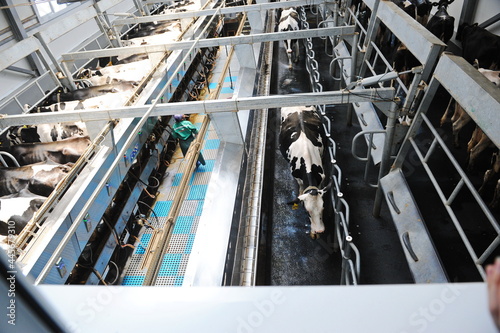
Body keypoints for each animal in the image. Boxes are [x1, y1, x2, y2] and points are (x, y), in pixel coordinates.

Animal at [280, 105, 330, 237]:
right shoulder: (298, 178)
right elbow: (301, 190)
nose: (320, 230)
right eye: (307, 212)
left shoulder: (321, 178)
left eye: (323, 208)